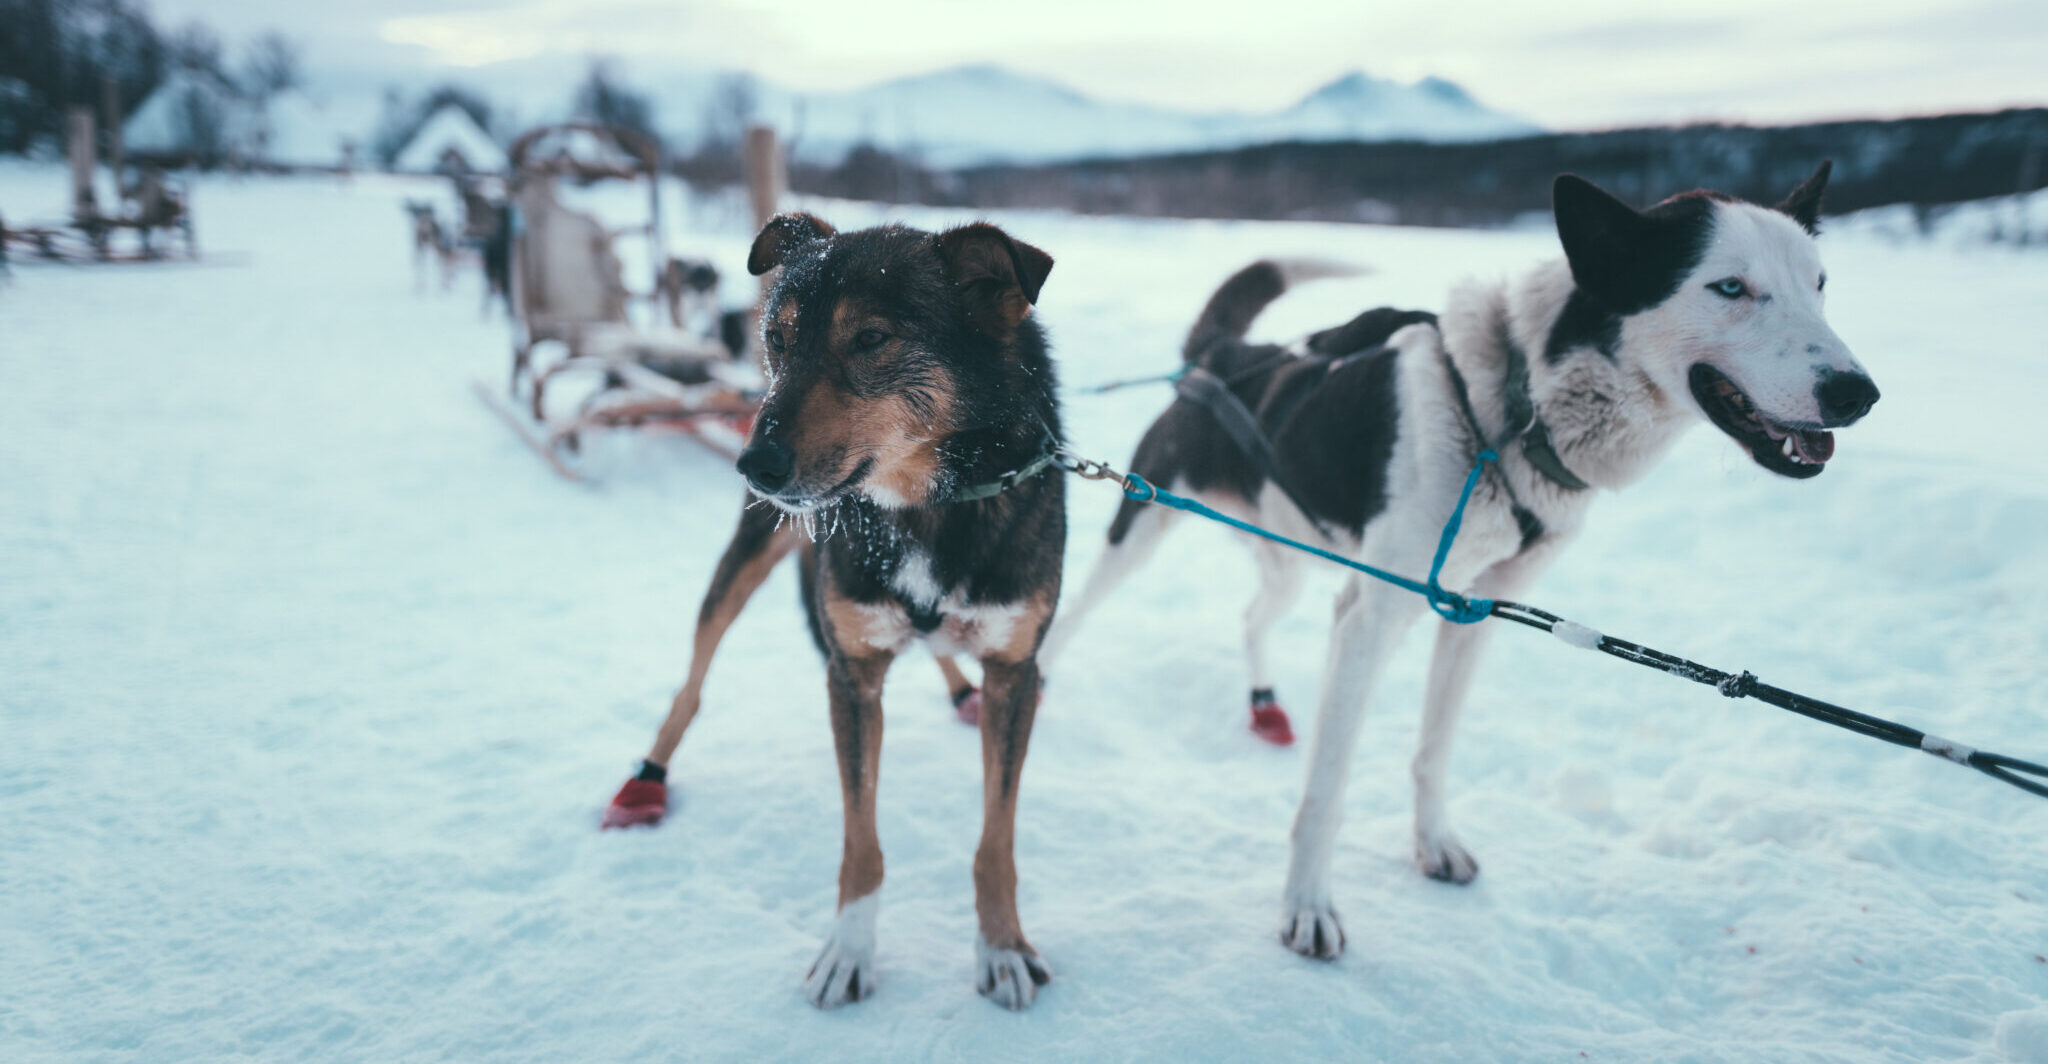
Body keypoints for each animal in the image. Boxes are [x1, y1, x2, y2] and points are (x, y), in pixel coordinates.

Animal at [602, 211, 1073, 1010]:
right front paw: (849, 953)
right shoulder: (851, 676)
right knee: (692, 681)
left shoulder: (1017, 670)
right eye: (778, 338)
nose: (755, 466)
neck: (925, 509)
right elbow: (861, 842)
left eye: (872, 339)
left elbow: (996, 840)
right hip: (742, 566)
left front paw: (1002, 947)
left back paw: (959, 691)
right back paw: (647, 777)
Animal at [1040, 161, 1875, 961]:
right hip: (1140, 524)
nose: (1857, 392)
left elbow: (1433, 748)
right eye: (1730, 286)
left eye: (1820, 285)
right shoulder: (1372, 615)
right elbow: (1328, 788)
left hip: (1292, 560)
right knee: (1073, 614)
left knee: (1252, 615)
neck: (1507, 414)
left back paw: (1266, 705)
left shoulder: (1474, 611)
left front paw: (1432, 844)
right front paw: (1307, 908)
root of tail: (1224, 355)